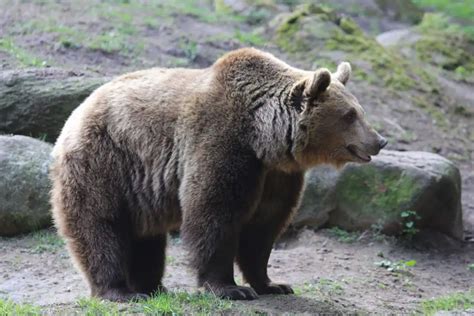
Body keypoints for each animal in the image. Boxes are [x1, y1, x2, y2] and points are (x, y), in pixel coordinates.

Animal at [51, 48, 386, 302]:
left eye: (359, 110)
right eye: (349, 115)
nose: (379, 140)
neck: (264, 137)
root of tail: (77, 111)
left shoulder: (277, 174)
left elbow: (264, 226)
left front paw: (272, 284)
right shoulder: (222, 142)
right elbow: (214, 212)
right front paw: (230, 288)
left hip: (139, 189)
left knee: (146, 238)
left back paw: (154, 287)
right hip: (105, 162)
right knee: (101, 225)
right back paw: (119, 291)